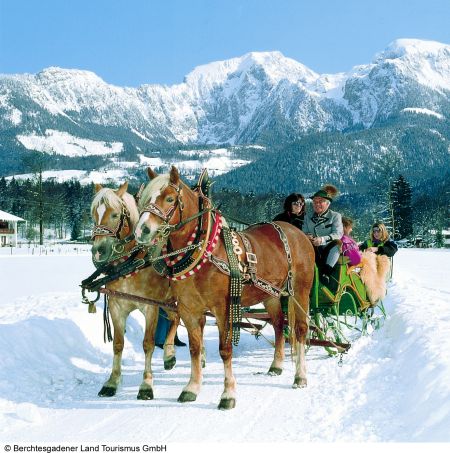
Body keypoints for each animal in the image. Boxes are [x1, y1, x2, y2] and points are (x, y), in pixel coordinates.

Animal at [90, 180, 182, 400]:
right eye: (93, 214)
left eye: (115, 215)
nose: (98, 251)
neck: (132, 262)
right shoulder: (116, 306)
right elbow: (118, 344)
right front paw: (112, 382)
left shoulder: (150, 308)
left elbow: (148, 344)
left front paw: (146, 384)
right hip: (167, 301)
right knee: (175, 319)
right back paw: (169, 355)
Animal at [135, 167, 314, 410]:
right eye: (144, 198)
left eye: (170, 199)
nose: (142, 231)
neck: (204, 250)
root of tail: (297, 233)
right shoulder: (189, 309)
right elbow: (194, 347)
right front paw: (192, 388)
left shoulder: (224, 310)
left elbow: (225, 350)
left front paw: (228, 394)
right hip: (271, 294)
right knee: (278, 324)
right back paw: (276, 365)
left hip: (300, 291)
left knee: (300, 329)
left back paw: (300, 376)